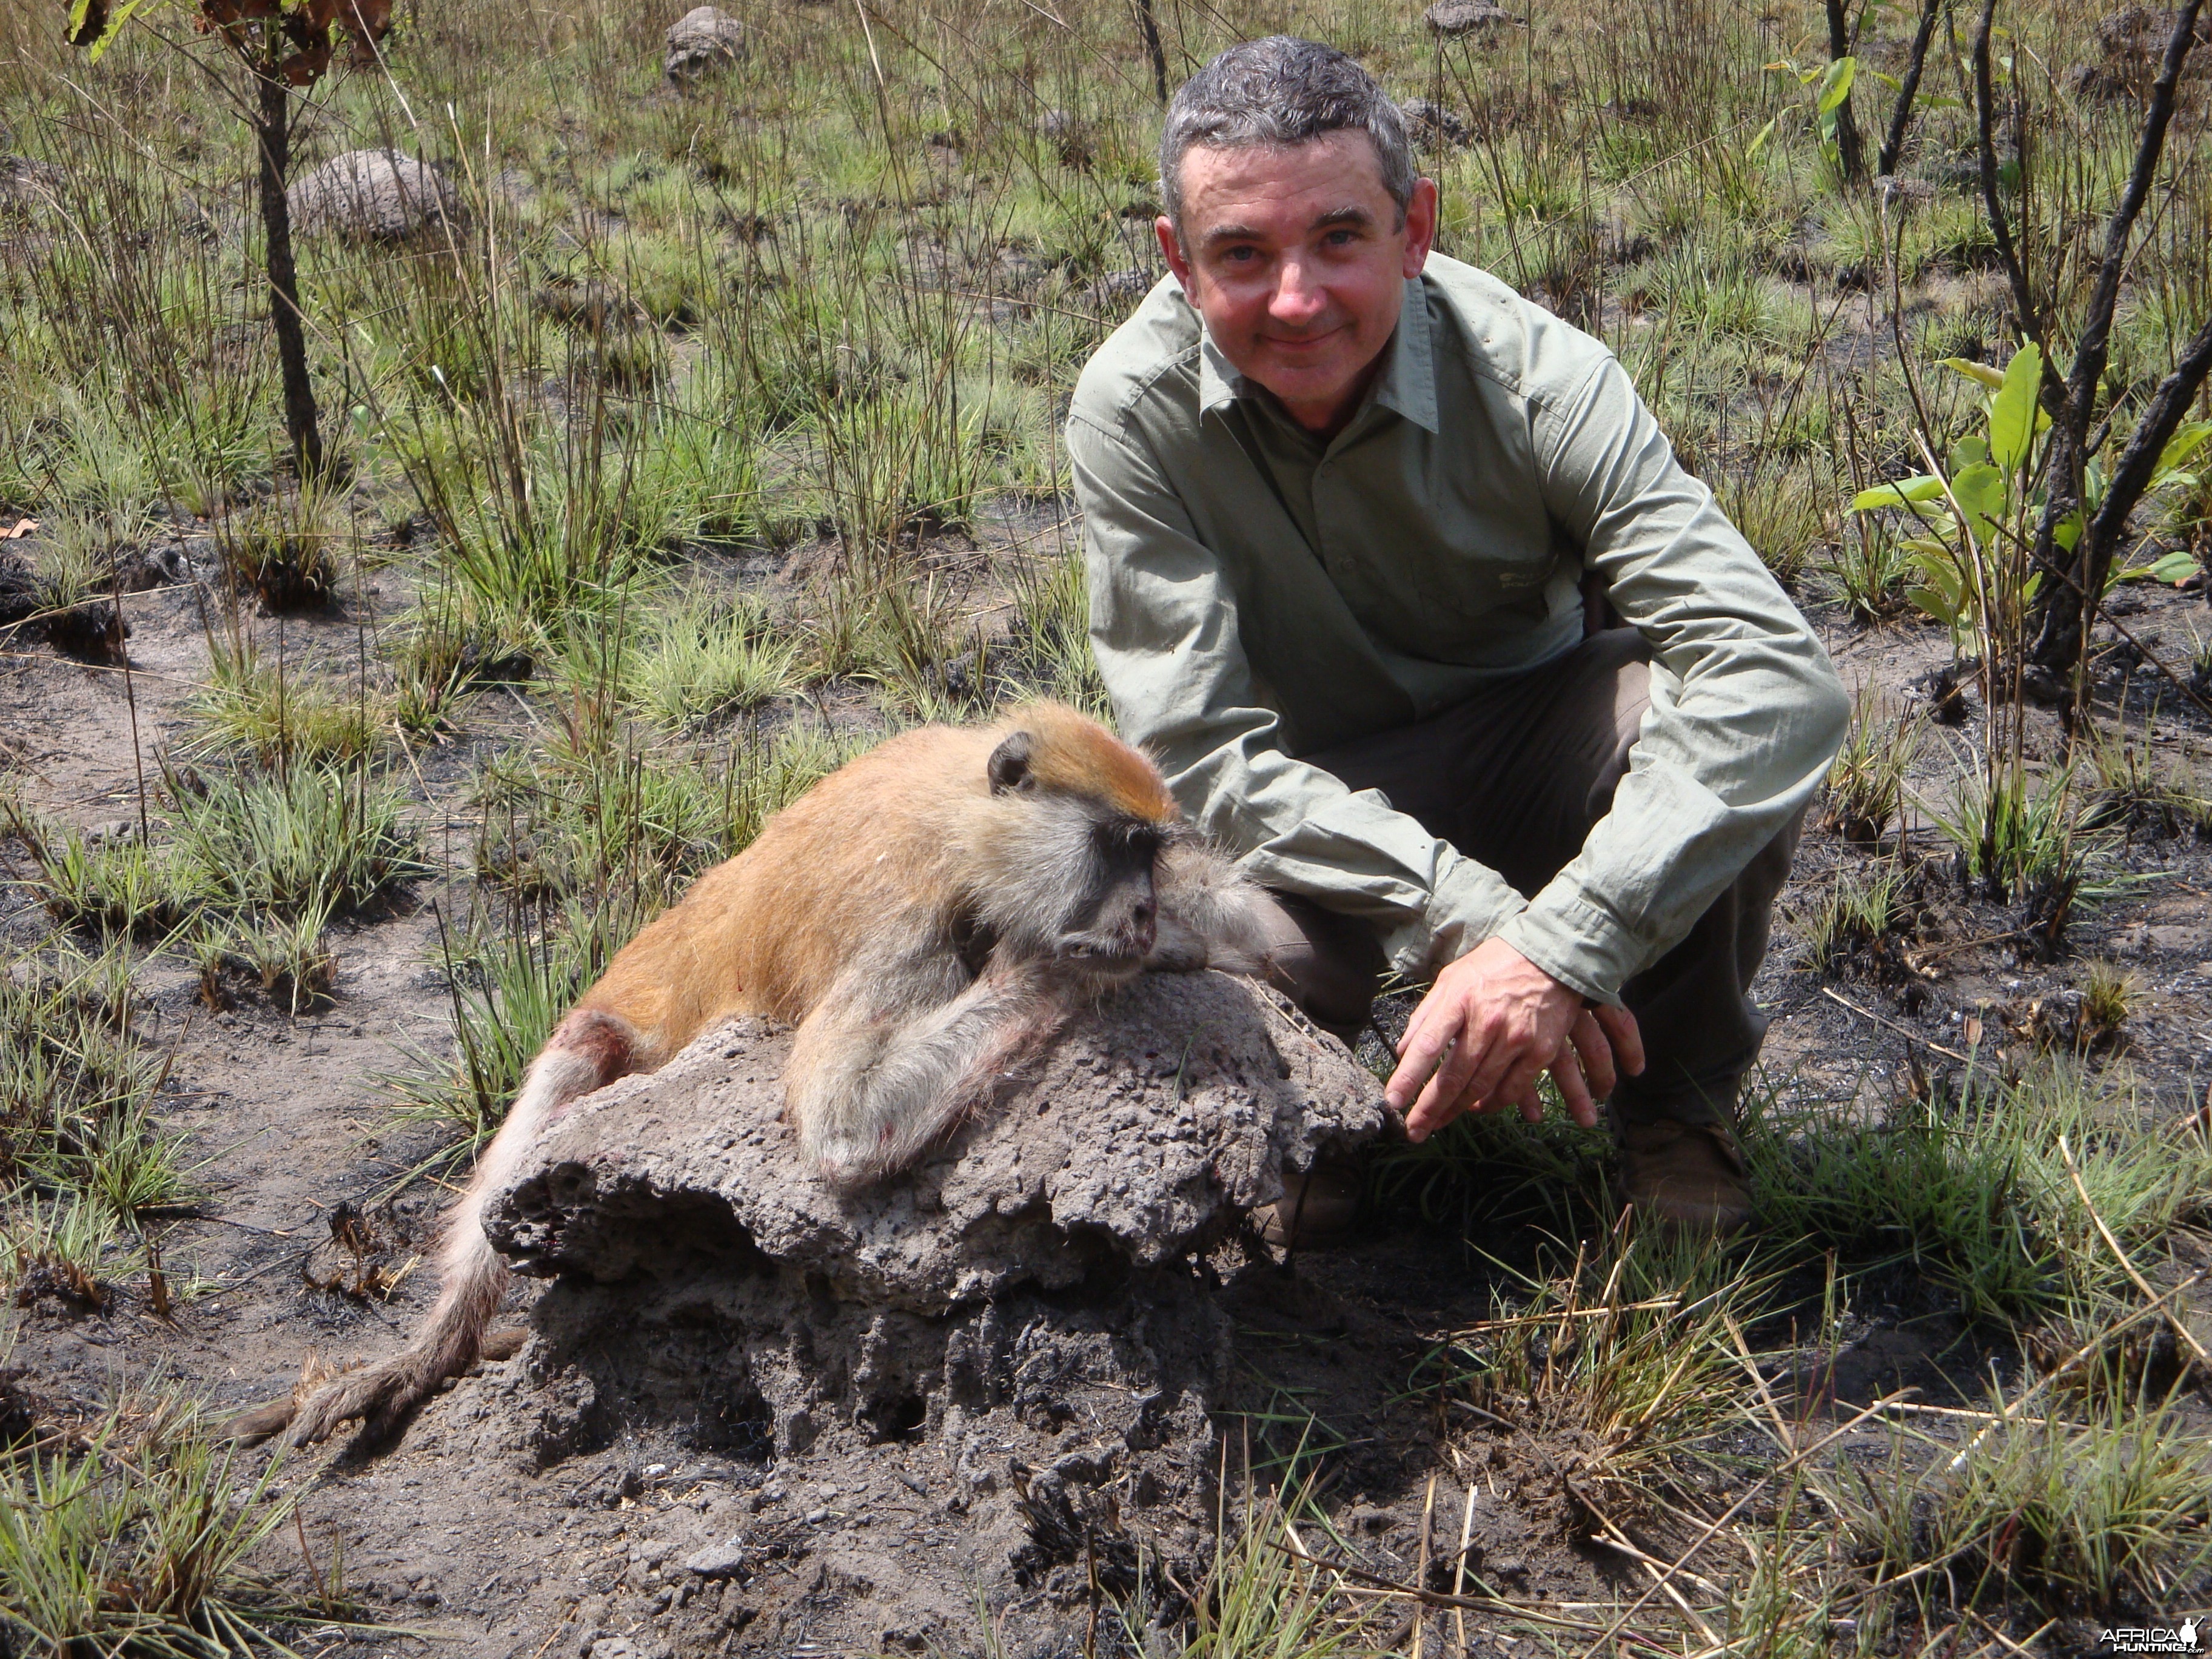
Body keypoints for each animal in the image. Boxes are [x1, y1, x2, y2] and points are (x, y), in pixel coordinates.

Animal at [278, 708, 1292, 1451]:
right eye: (1119, 847)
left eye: (1151, 853)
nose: (1143, 911)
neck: (965, 818)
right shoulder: (907, 923)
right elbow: (845, 1120)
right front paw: (1074, 967)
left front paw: (1196, 935)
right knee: (580, 1053)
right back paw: (435, 1347)